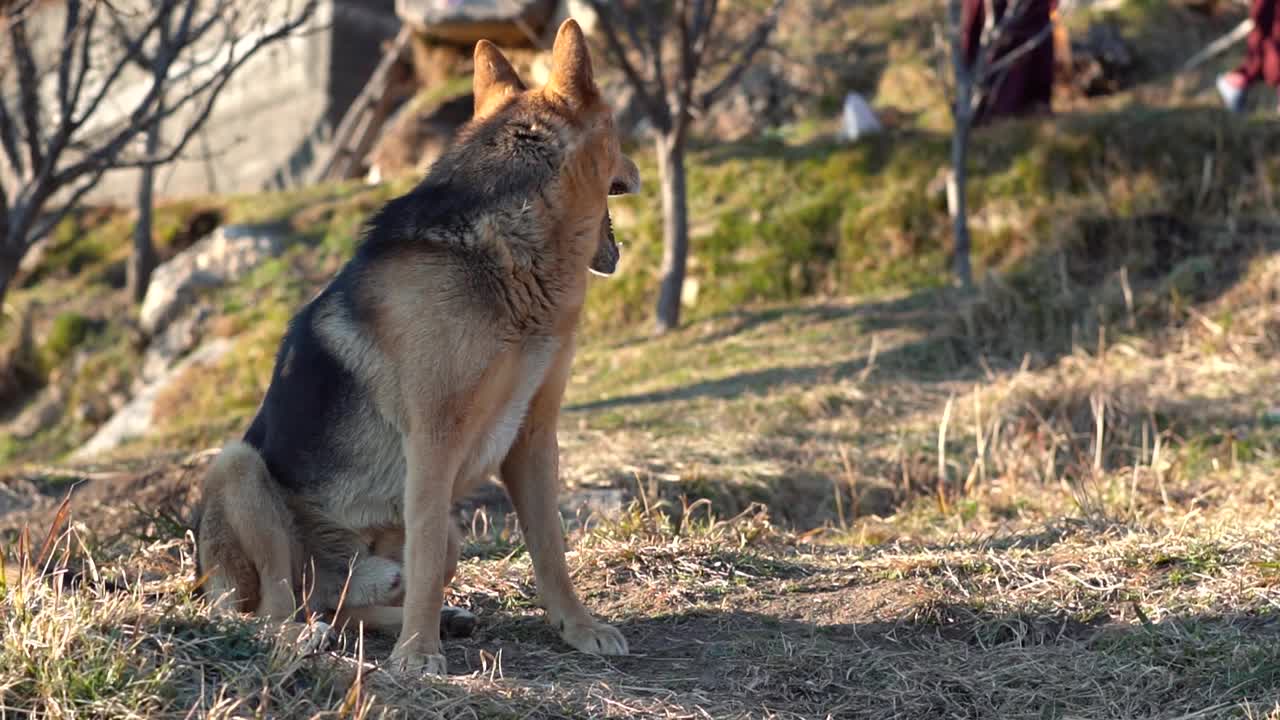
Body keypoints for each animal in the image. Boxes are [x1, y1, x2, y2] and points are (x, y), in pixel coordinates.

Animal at [192, 20, 640, 671]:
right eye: (618, 131)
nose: (638, 168)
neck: (510, 252)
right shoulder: (434, 439)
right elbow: (425, 557)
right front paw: (418, 657)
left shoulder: (533, 438)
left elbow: (551, 548)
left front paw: (578, 629)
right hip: (238, 468)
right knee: (279, 608)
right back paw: (307, 638)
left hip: (434, 539)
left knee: (343, 608)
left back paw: (415, 618)